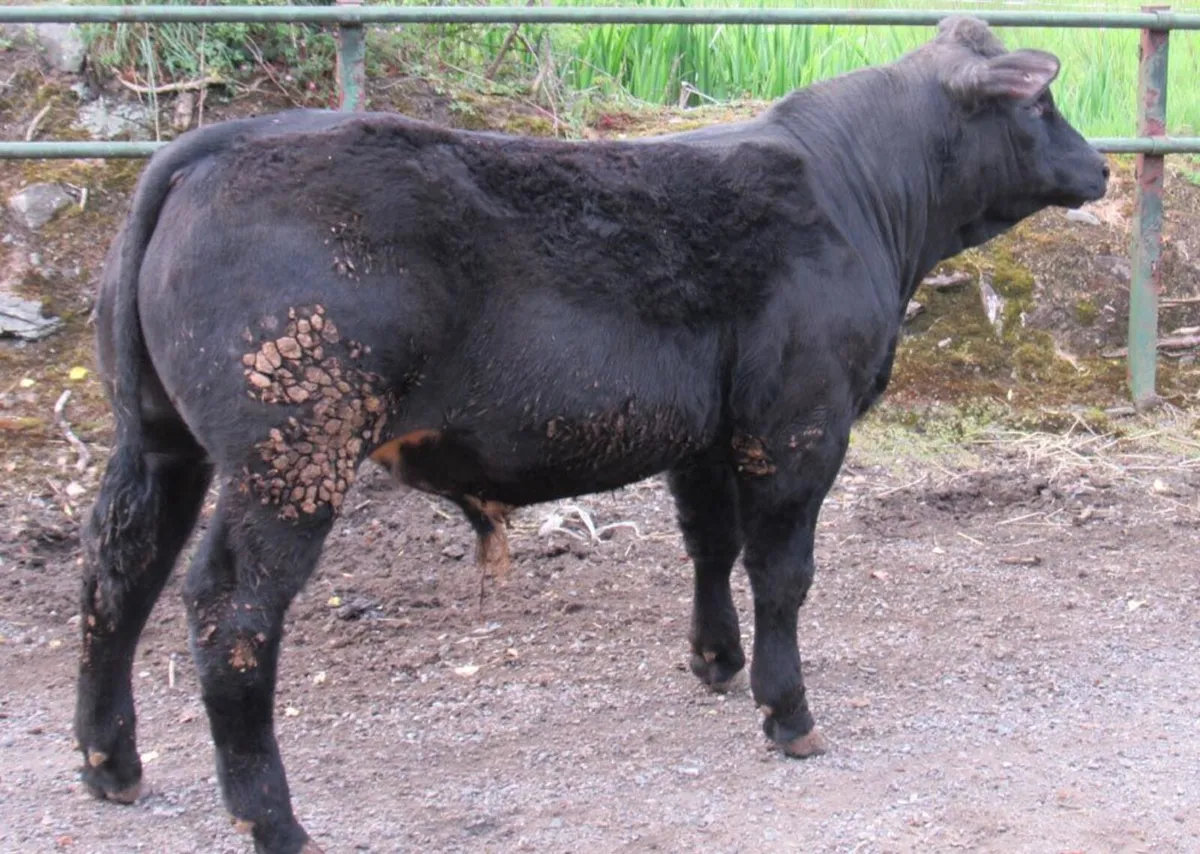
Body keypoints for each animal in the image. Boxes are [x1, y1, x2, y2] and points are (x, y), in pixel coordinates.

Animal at [74, 16, 1107, 853]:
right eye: (1044, 101)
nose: (1099, 164)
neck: (860, 196)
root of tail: (215, 144)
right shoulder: (800, 422)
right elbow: (782, 571)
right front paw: (787, 710)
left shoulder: (708, 434)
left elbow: (710, 544)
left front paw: (715, 660)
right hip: (293, 451)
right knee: (231, 611)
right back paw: (273, 818)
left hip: (160, 441)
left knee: (119, 571)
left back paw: (110, 763)